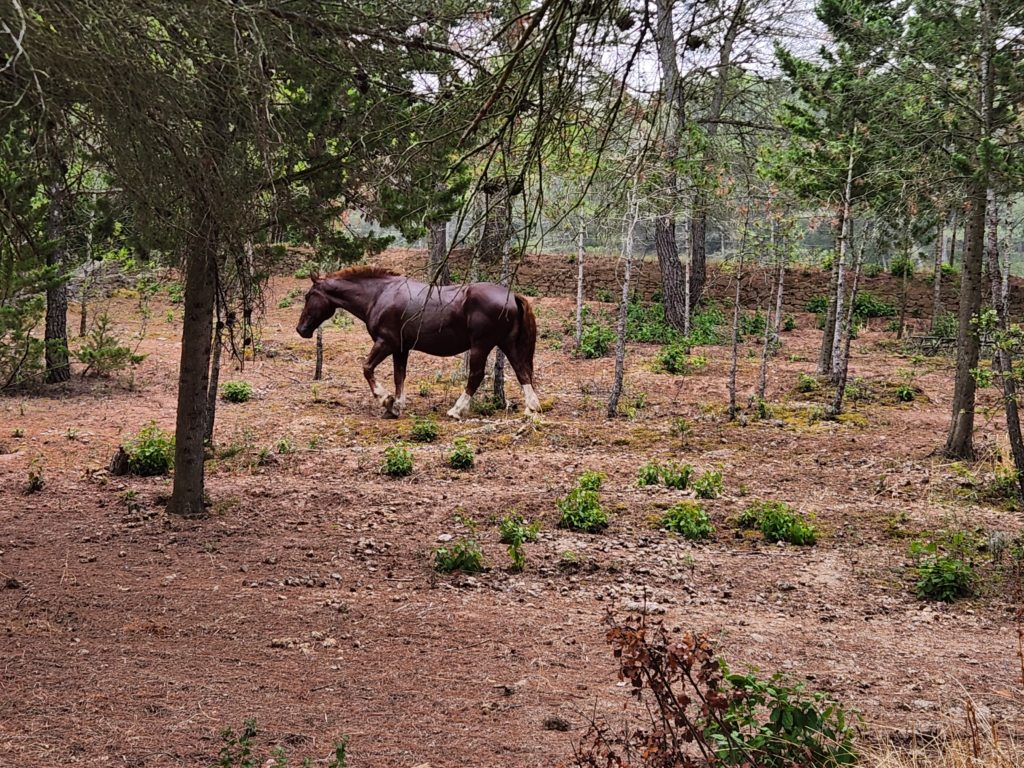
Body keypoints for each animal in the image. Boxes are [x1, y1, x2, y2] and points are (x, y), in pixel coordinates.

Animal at [295, 266, 542, 419]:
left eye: (309, 296)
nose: (301, 329)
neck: (380, 294)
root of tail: (511, 296)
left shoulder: (386, 343)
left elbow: (367, 368)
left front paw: (385, 399)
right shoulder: (400, 349)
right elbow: (399, 376)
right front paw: (396, 407)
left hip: (481, 346)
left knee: (476, 376)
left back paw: (456, 410)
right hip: (507, 344)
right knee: (522, 371)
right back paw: (532, 407)